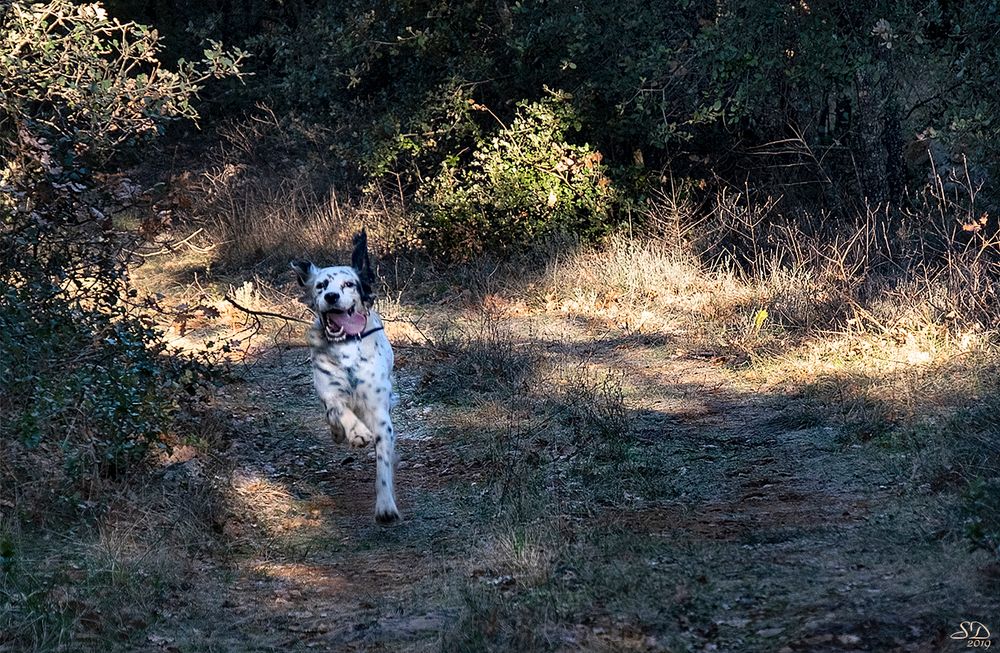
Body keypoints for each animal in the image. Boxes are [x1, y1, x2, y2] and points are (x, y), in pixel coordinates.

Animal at [292, 232, 400, 524]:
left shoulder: (379, 410)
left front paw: (385, 506)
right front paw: (356, 432)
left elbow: (383, 462)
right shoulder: (329, 392)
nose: (331, 296)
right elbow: (338, 410)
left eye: (349, 284)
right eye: (321, 286)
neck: (348, 347)